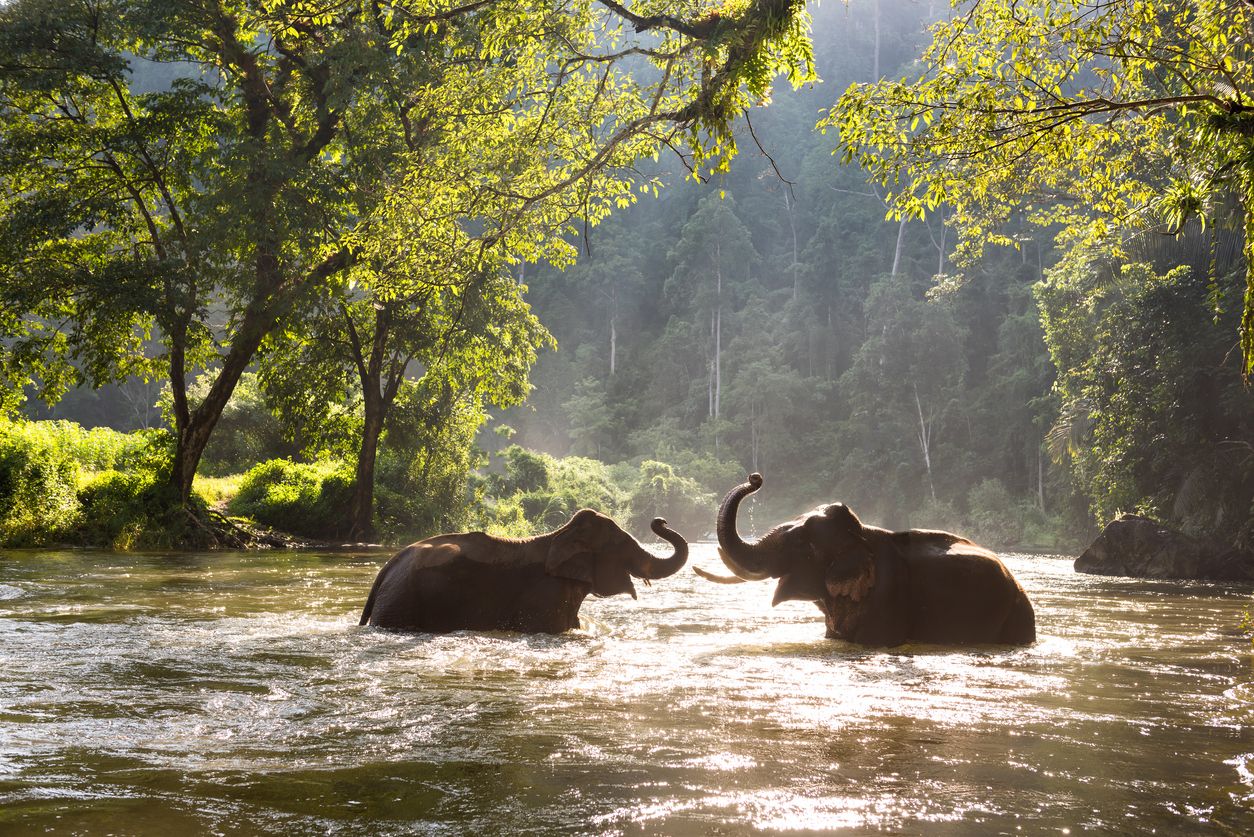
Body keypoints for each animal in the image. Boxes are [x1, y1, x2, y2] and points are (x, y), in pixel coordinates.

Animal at [358, 506, 687, 632]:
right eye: (620, 545)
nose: (660, 519)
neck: (560, 535)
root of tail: (387, 568)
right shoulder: (545, 597)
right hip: (402, 604)